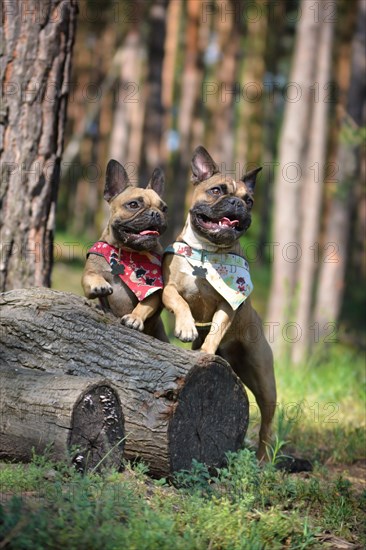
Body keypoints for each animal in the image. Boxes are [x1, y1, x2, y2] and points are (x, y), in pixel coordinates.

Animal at [82, 158, 168, 340]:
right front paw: (99, 285)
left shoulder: (154, 292)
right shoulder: (89, 271)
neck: (128, 252)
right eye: (133, 204)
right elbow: (90, 277)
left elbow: (145, 303)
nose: (155, 213)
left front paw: (134, 318)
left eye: (164, 209)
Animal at [164, 147, 278, 462]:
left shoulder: (229, 304)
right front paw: (187, 328)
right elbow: (179, 302)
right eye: (217, 190)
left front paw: (205, 350)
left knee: (267, 424)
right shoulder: (169, 288)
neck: (207, 252)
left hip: (265, 382)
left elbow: (216, 328)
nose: (238, 204)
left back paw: (263, 461)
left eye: (249, 200)